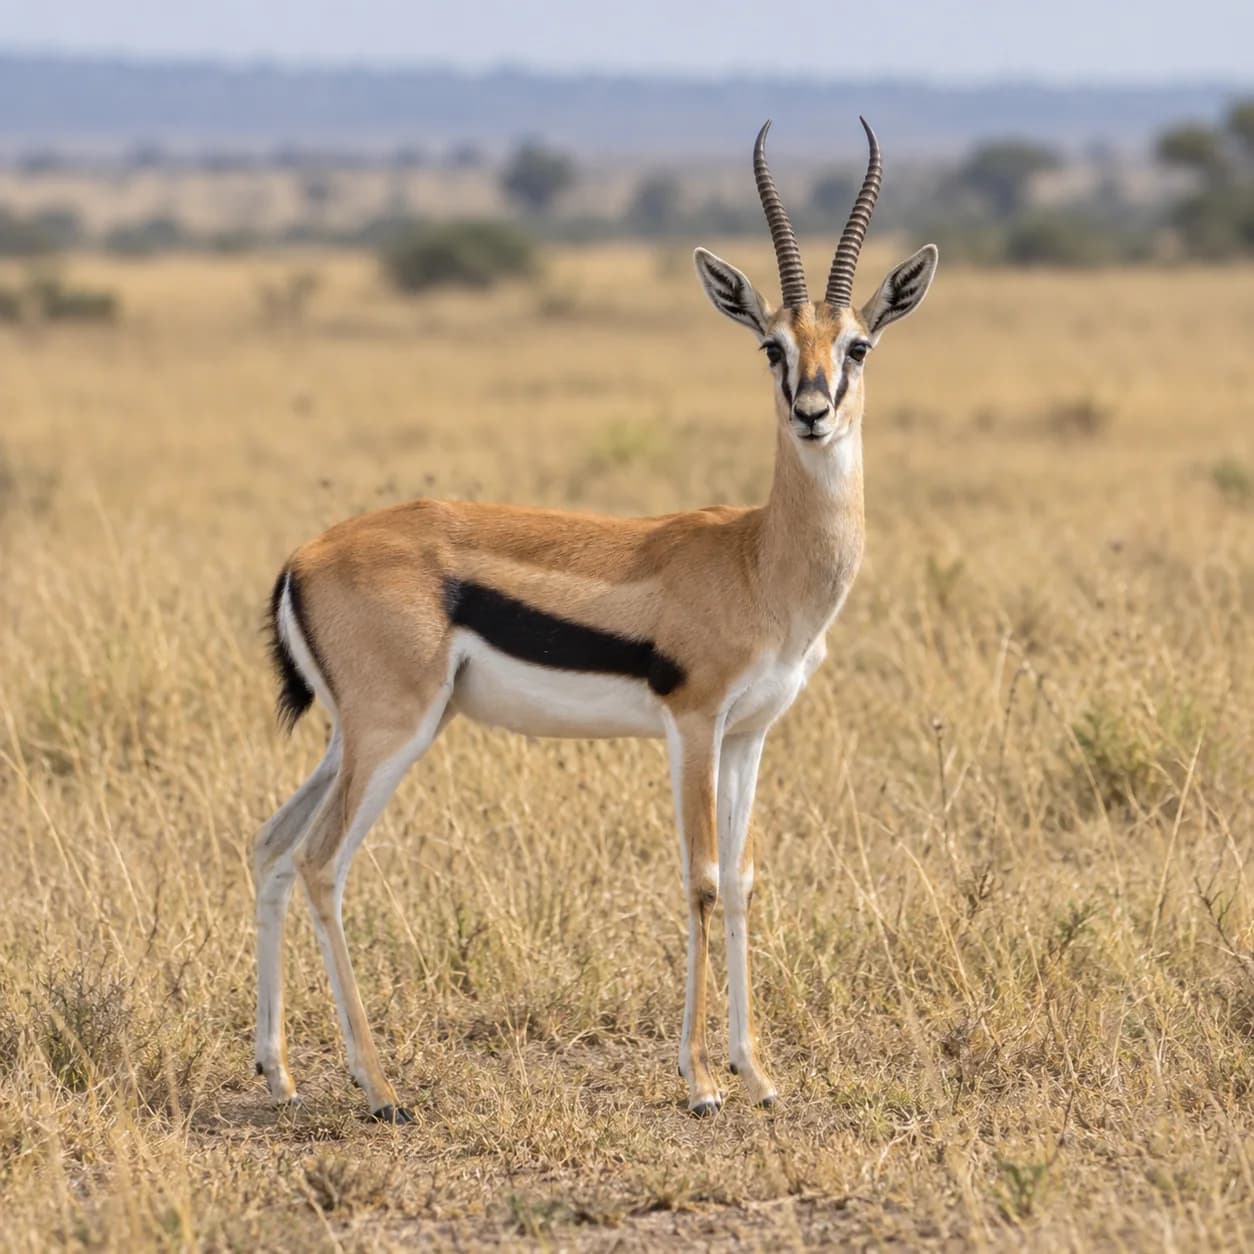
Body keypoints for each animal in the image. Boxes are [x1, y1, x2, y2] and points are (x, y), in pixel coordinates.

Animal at [254, 118, 938, 1122]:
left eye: (856, 346)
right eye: (771, 347)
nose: (812, 413)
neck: (758, 559)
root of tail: (303, 556)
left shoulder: (749, 736)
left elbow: (742, 883)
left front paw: (757, 1072)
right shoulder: (692, 724)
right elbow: (699, 882)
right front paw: (700, 1082)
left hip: (353, 735)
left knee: (271, 845)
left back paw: (277, 1069)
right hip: (391, 734)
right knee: (320, 862)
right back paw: (376, 1085)